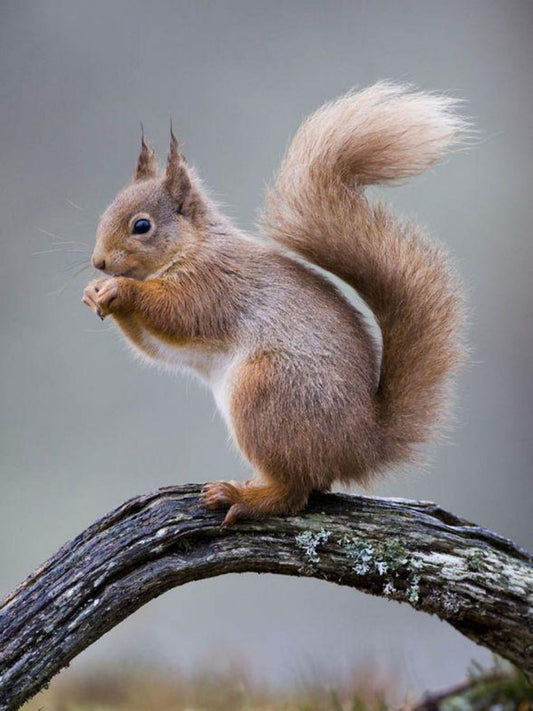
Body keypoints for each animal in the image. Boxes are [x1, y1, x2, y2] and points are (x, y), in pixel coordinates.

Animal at [83, 82, 467, 526]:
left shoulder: (214, 286)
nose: (99, 262)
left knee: (295, 491)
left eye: (141, 226)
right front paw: (95, 291)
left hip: (266, 391)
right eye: (105, 213)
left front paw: (120, 290)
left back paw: (244, 497)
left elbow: (177, 313)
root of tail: (360, 444)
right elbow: (156, 345)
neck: (195, 247)